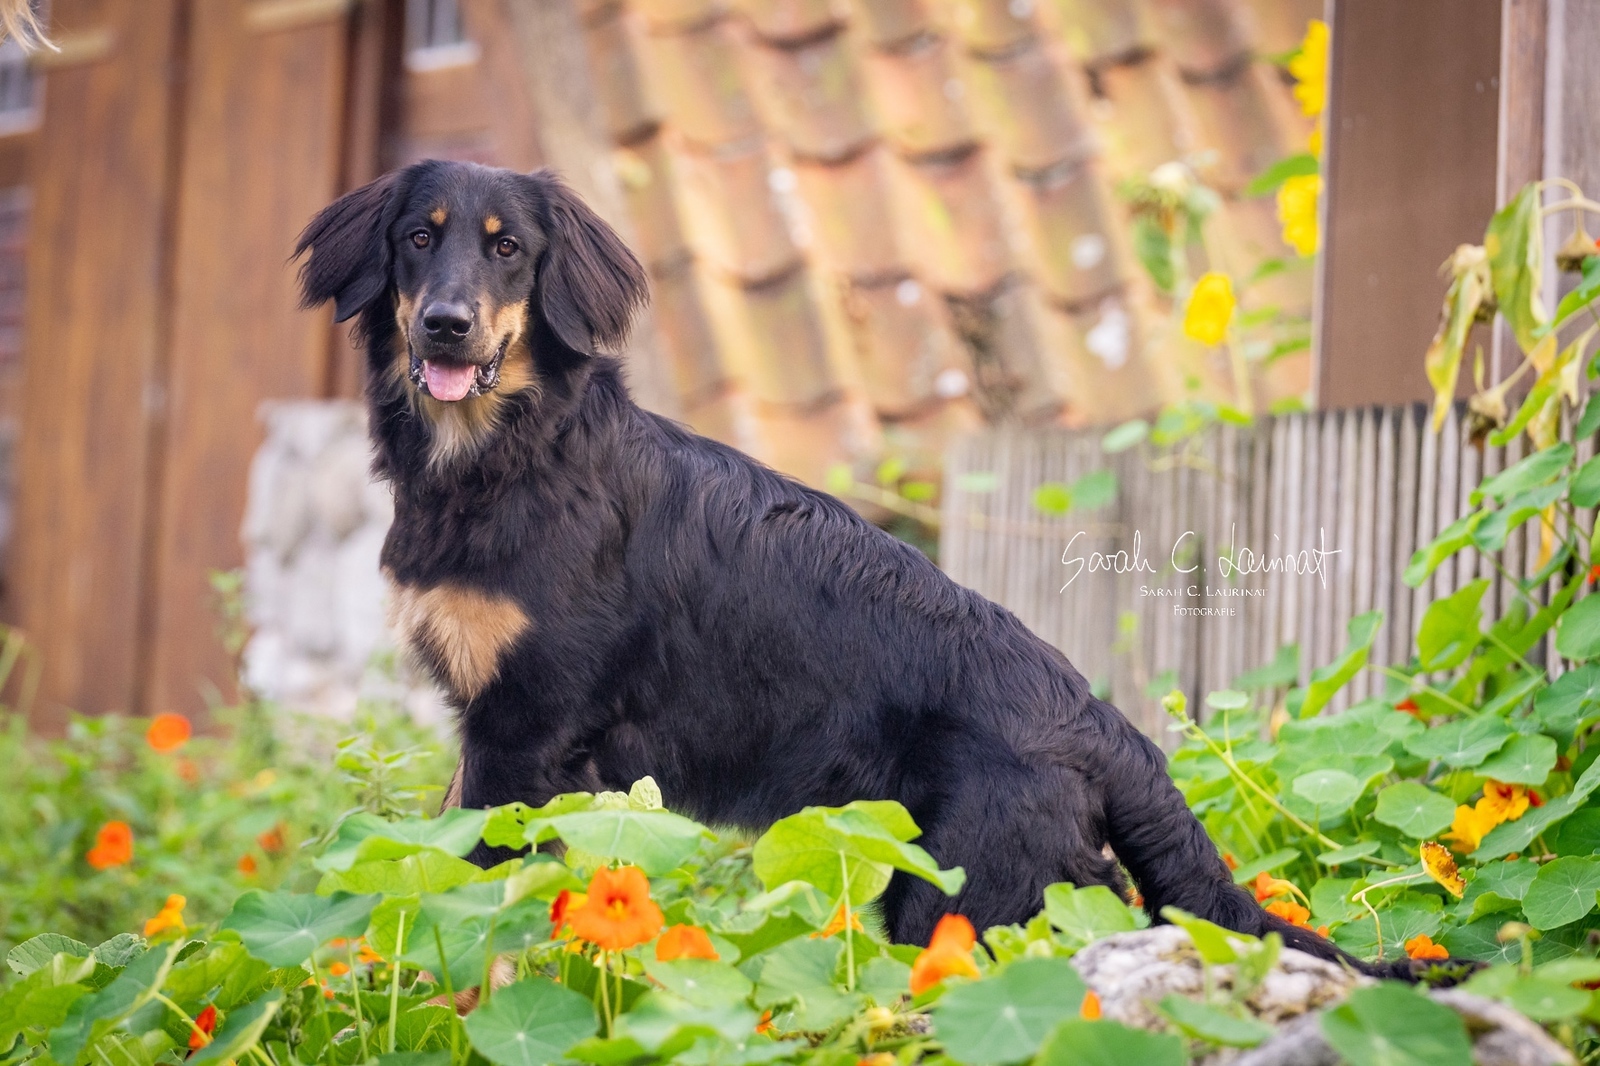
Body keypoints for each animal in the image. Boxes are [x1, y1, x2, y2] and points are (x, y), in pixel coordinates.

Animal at [295, 159, 1419, 979]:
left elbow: (478, 891)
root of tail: (1105, 726)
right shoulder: (503, 741)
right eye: (418, 237)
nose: (445, 324)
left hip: (963, 900)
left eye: (510, 250)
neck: (514, 452)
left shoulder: (524, 736)